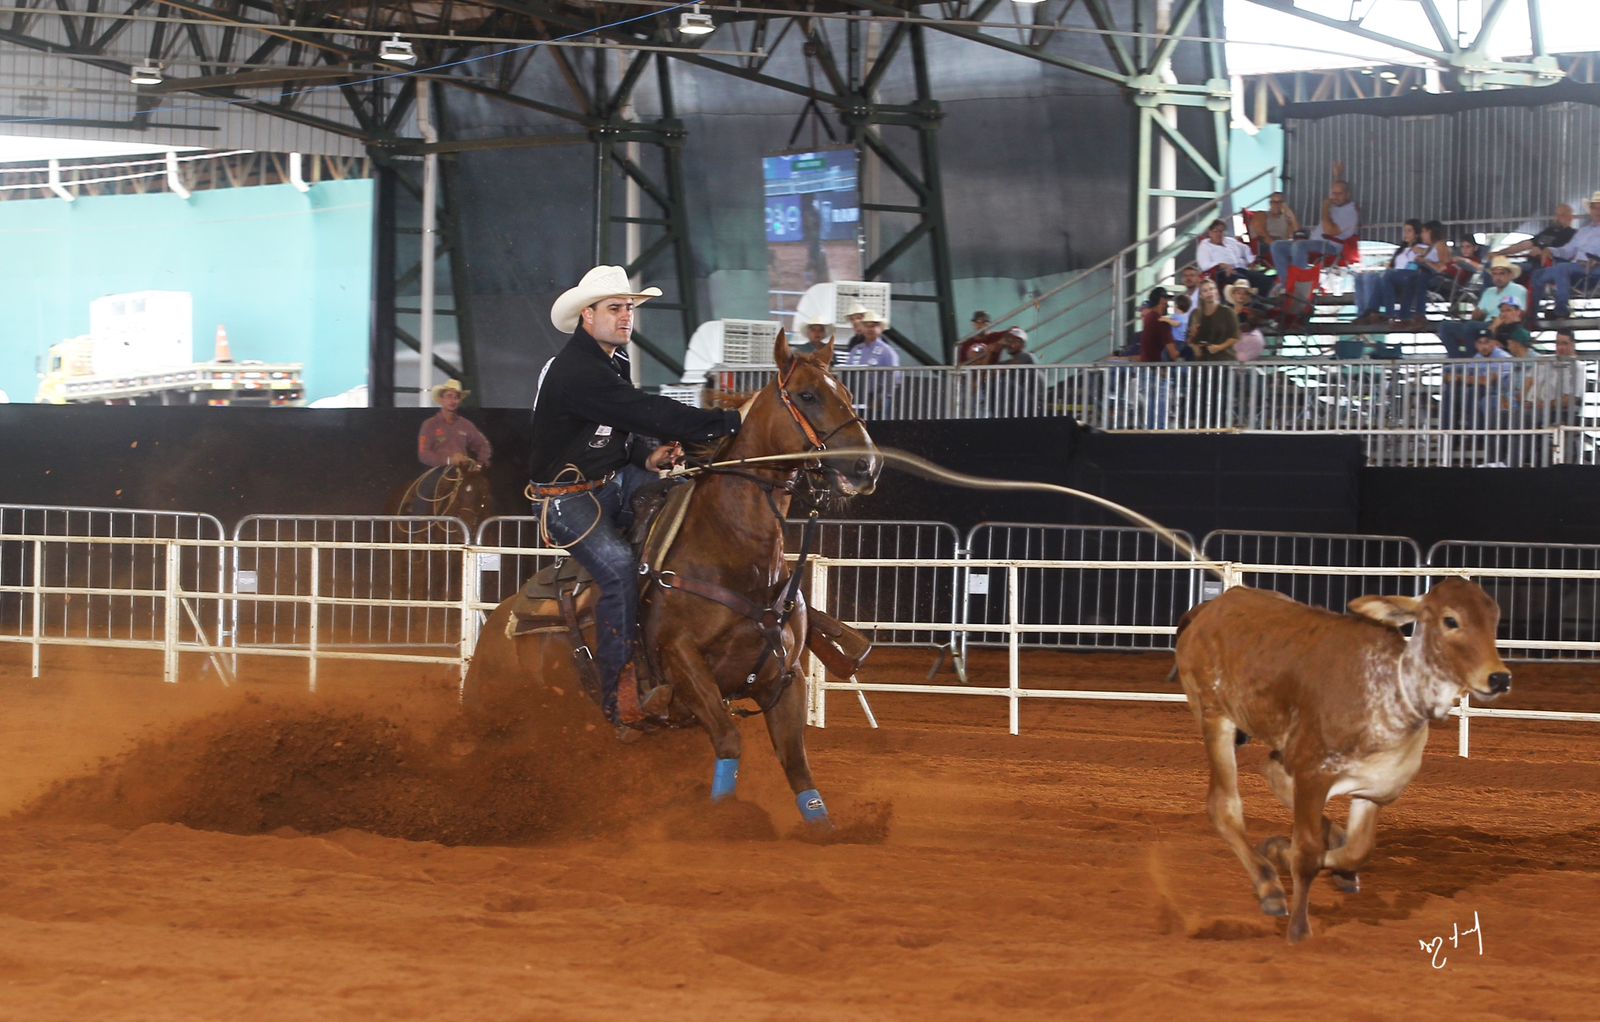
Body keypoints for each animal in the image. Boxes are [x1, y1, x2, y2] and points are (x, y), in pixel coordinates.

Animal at [464, 335, 889, 831]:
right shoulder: (683, 661)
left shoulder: (785, 677)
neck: (734, 554)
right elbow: (728, 739)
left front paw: (824, 830)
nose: (866, 466)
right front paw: (724, 819)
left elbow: (797, 763)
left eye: (846, 391)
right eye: (807, 395)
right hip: (491, 713)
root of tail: (497, 625)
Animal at [1177, 578, 1510, 946]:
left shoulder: (1374, 789)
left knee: (1274, 772)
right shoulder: (1312, 774)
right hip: (1214, 716)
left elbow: (1358, 849)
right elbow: (1307, 853)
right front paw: (1298, 929)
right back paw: (1268, 885)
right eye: (1451, 620)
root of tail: (1207, 610)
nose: (1499, 678)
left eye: (1494, 619)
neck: (1392, 691)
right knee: (1224, 806)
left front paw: (1298, 854)